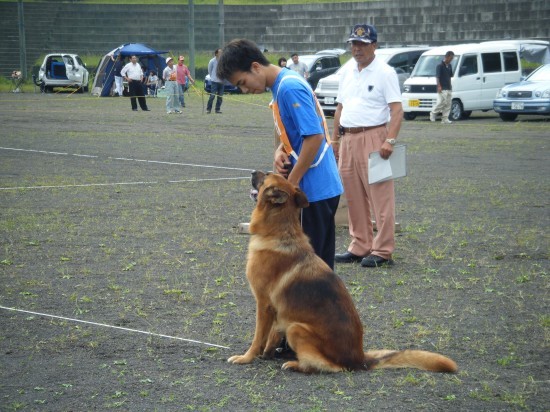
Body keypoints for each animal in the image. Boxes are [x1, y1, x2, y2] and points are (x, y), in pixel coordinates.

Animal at [227, 171, 458, 374]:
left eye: (267, 175)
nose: (253, 172)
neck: (280, 232)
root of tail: (360, 358)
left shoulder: (263, 304)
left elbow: (258, 337)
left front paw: (247, 357)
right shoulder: (276, 311)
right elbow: (272, 334)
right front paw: (267, 353)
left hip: (296, 328)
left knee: (329, 367)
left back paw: (296, 364)